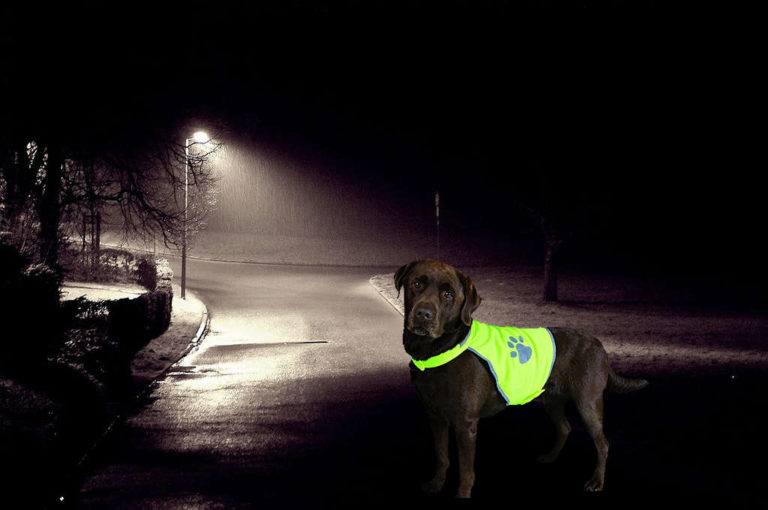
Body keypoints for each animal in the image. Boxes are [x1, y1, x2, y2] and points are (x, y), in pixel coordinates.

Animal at [396, 258, 648, 498]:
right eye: (416, 284)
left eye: (448, 294)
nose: (423, 314)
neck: (436, 351)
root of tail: (599, 344)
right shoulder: (435, 417)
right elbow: (441, 457)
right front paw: (435, 485)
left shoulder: (465, 425)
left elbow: (466, 472)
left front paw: (461, 495)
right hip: (552, 400)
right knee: (565, 427)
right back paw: (550, 457)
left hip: (588, 403)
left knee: (602, 443)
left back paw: (596, 481)